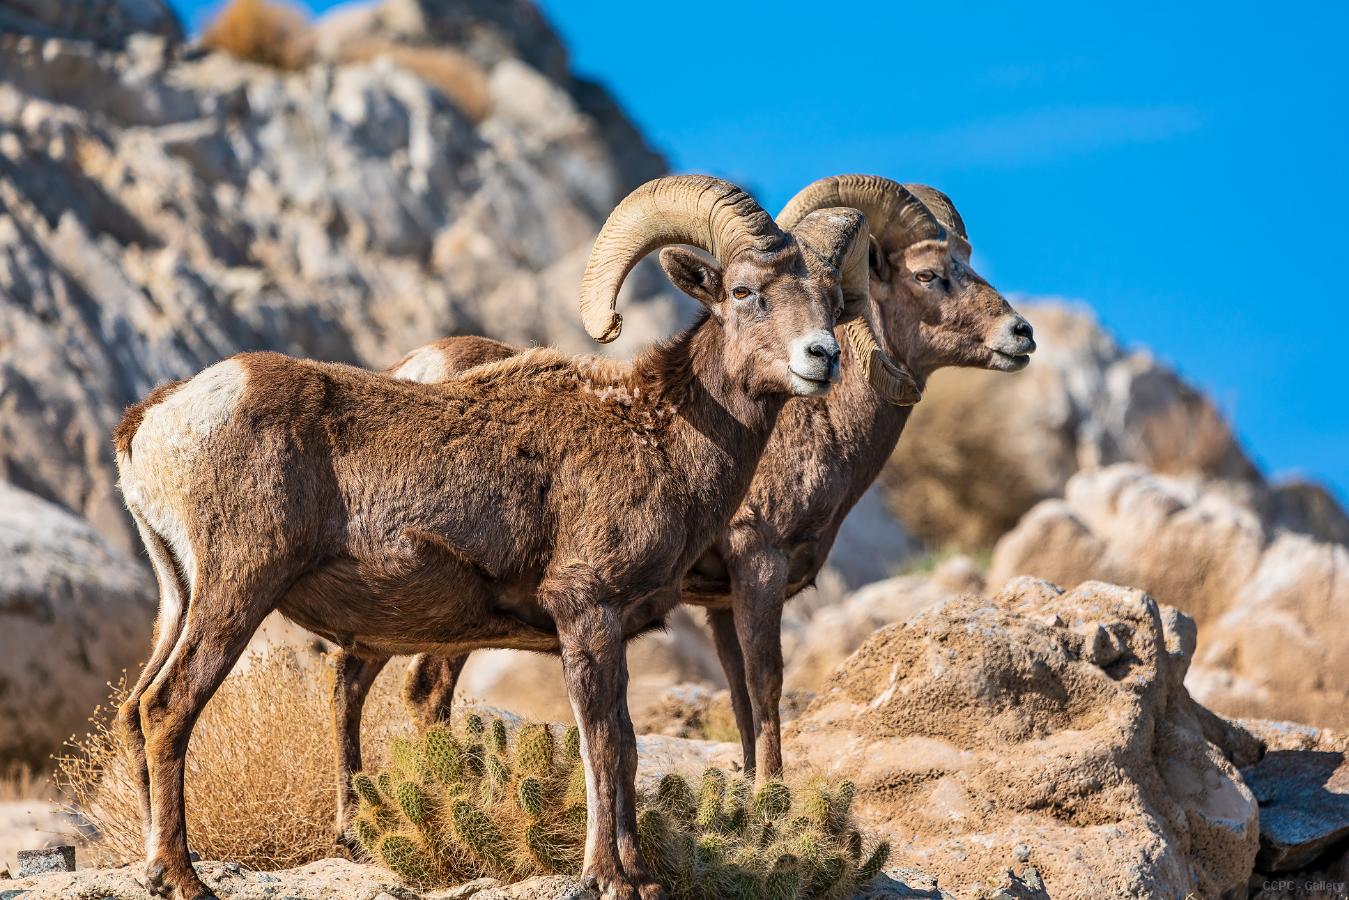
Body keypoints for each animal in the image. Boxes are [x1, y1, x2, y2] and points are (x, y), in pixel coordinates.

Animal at [116, 175, 917, 900]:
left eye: (832, 301)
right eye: (746, 291)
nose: (821, 356)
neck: (665, 436)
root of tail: (160, 416)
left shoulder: (615, 628)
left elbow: (628, 748)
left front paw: (641, 878)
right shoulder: (584, 610)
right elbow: (602, 744)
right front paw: (605, 877)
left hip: (179, 599)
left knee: (135, 709)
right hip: (237, 590)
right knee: (168, 708)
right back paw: (181, 879)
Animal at [323, 175, 1030, 825]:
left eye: (832, 300)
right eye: (930, 275)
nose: (1020, 334)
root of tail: (416, 370)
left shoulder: (717, 604)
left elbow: (740, 695)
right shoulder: (757, 563)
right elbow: (767, 682)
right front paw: (773, 800)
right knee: (422, 692)